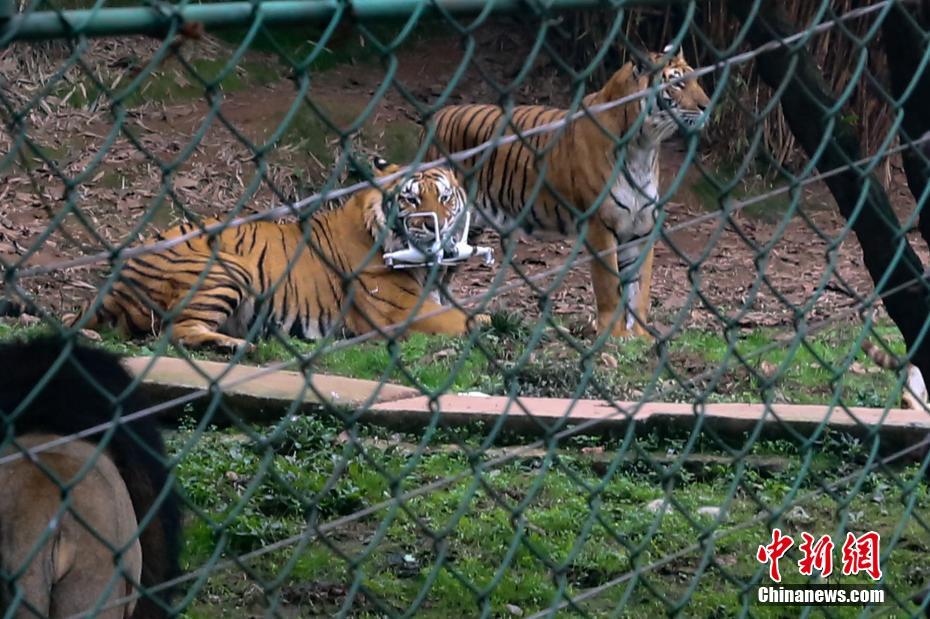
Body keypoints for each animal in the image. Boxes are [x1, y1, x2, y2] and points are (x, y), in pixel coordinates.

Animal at [62, 159, 489, 351]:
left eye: (445, 198)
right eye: (410, 199)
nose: (435, 227)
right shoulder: (402, 313)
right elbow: (467, 318)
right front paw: (488, 320)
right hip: (226, 270)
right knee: (176, 332)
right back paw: (239, 346)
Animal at [424, 45, 710, 338]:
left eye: (697, 80)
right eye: (677, 83)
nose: (707, 105)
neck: (644, 146)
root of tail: (439, 116)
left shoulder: (641, 227)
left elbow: (639, 288)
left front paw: (640, 337)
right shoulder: (600, 225)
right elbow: (609, 286)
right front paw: (614, 335)